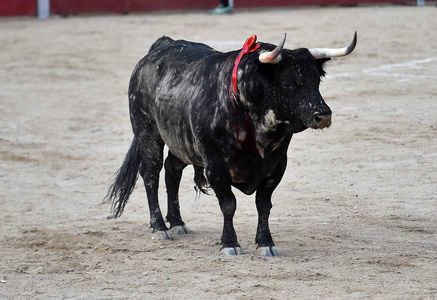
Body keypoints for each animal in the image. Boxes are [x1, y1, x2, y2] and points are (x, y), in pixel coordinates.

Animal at [106, 33, 358, 258]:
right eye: (287, 83)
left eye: (317, 80)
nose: (323, 115)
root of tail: (160, 47)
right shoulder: (215, 167)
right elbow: (229, 204)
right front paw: (230, 244)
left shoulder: (277, 166)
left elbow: (263, 205)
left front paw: (266, 244)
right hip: (147, 132)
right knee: (151, 174)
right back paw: (159, 227)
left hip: (181, 142)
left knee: (172, 171)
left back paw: (177, 223)